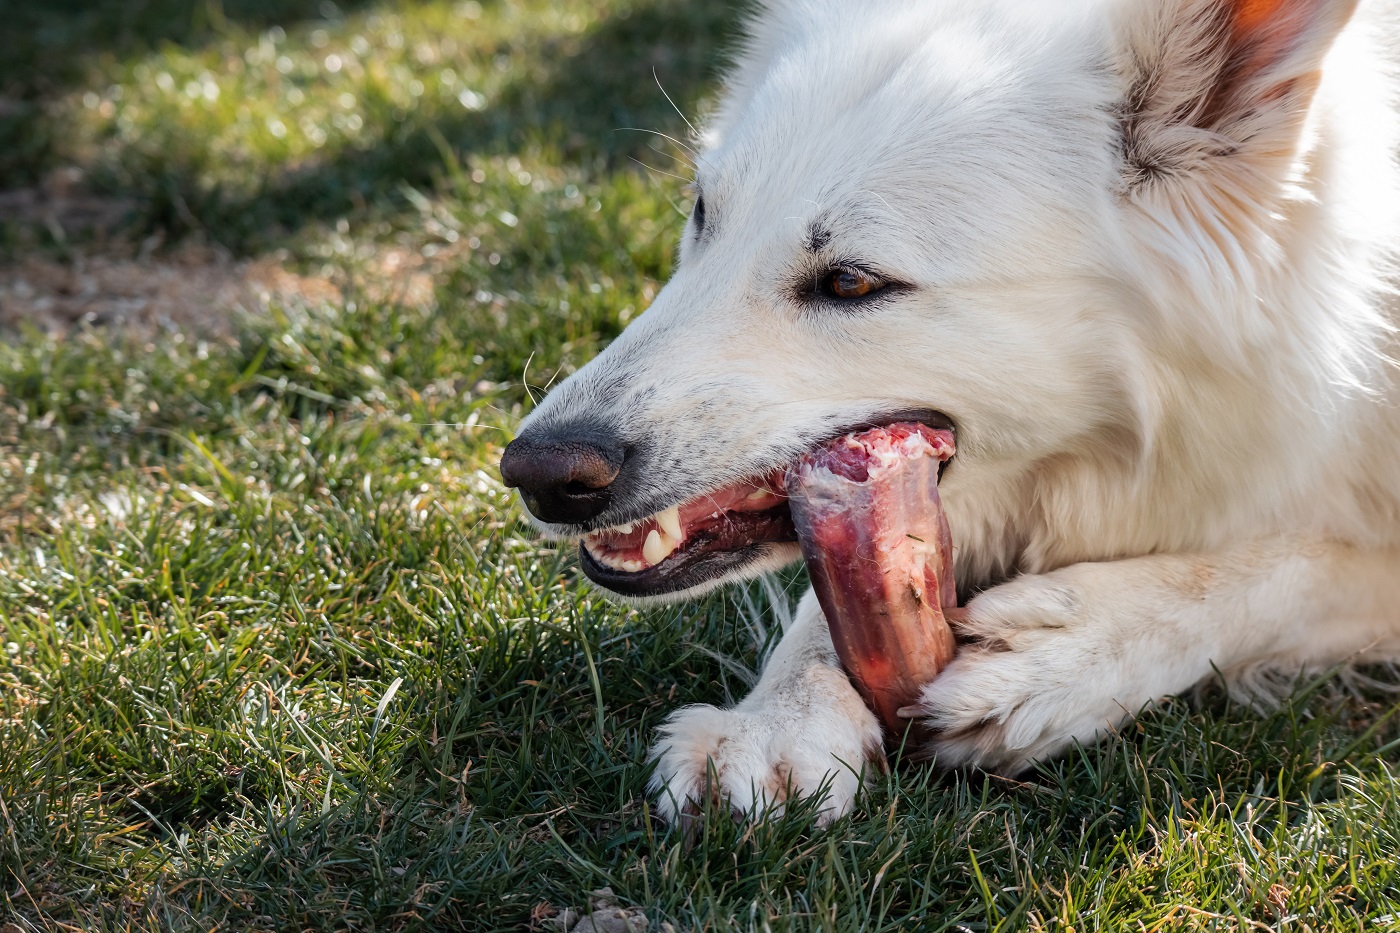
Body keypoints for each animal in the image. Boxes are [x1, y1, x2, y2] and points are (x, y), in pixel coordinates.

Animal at [498, 0, 1400, 818]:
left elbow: (1287, 571)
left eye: (851, 282)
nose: (532, 473)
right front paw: (777, 718)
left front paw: (1072, 652)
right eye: (702, 216)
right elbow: (831, 602)